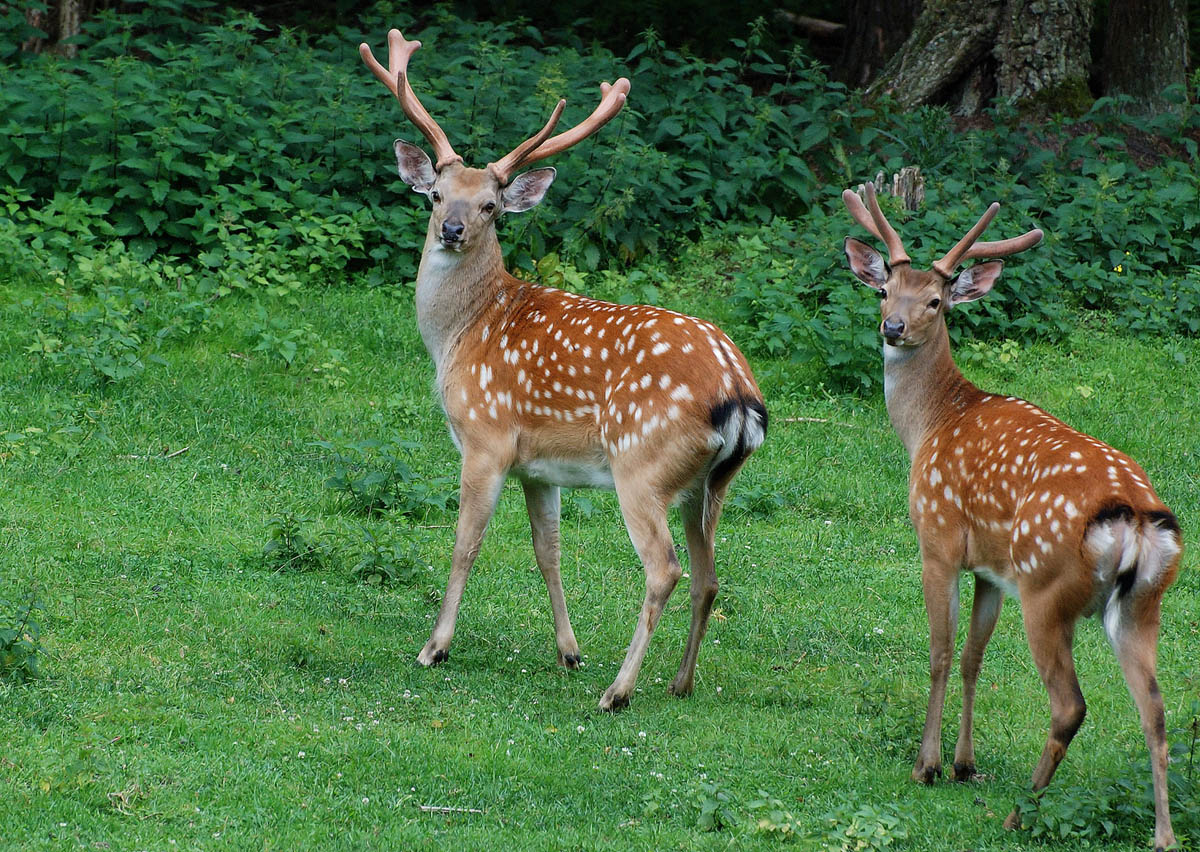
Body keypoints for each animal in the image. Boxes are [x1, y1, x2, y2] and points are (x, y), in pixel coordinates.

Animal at [358, 29, 767, 711]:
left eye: (492, 206)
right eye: (438, 194)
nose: (451, 229)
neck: (461, 334)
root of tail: (740, 394)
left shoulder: (487, 438)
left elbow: (465, 544)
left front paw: (434, 647)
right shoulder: (538, 465)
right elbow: (547, 550)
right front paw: (568, 652)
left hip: (642, 464)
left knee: (666, 569)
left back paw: (618, 691)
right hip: (709, 483)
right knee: (710, 576)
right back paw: (679, 682)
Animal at [841, 183, 1181, 851]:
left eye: (936, 300)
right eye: (886, 289)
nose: (893, 327)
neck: (930, 425)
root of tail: (1134, 516)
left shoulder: (939, 540)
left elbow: (940, 651)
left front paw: (927, 765)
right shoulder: (991, 571)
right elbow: (973, 656)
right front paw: (963, 763)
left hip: (1047, 589)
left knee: (1070, 705)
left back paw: (1020, 813)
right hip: (1141, 601)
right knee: (1155, 709)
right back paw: (1163, 836)